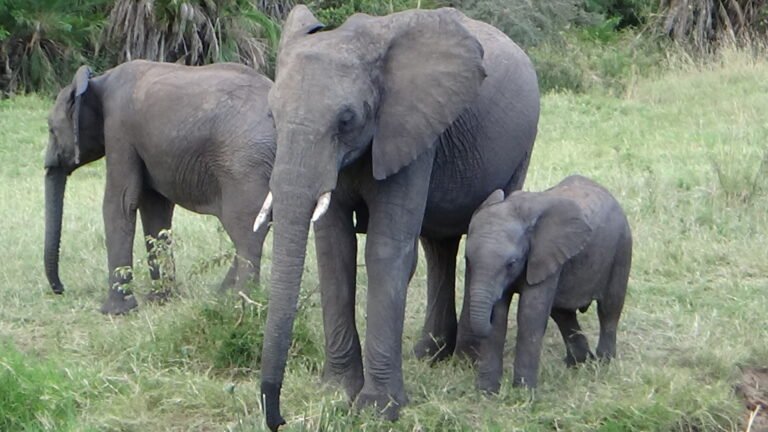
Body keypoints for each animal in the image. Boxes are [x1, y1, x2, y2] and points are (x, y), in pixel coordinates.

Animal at [43, 60, 276, 315]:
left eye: (51, 129)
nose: (60, 289)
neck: (97, 81)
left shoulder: (119, 128)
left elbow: (119, 202)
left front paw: (114, 312)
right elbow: (154, 207)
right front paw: (161, 299)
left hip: (244, 167)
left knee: (246, 232)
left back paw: (240, 305)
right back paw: (222, 295)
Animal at [255, 5, 539, 430]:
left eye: (346, 120)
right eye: (272, 116)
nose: (280, 419)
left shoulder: (408, 127)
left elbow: (385, 253)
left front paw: (378, 409)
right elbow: (334, 251)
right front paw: (336, 394)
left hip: (522, 145)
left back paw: (466, 358)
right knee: (438, 245)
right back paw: (429, 354)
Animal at [464, 175, 633, 393]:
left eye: (512, 263)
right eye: (467, 259)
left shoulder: (545, 256)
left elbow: (530, 315)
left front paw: (524, 394)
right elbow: (500, 317)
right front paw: (487, 392)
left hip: (622, 248)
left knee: (609, 308)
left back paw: (603, 363)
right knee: (563, 313)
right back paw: (578, 363)